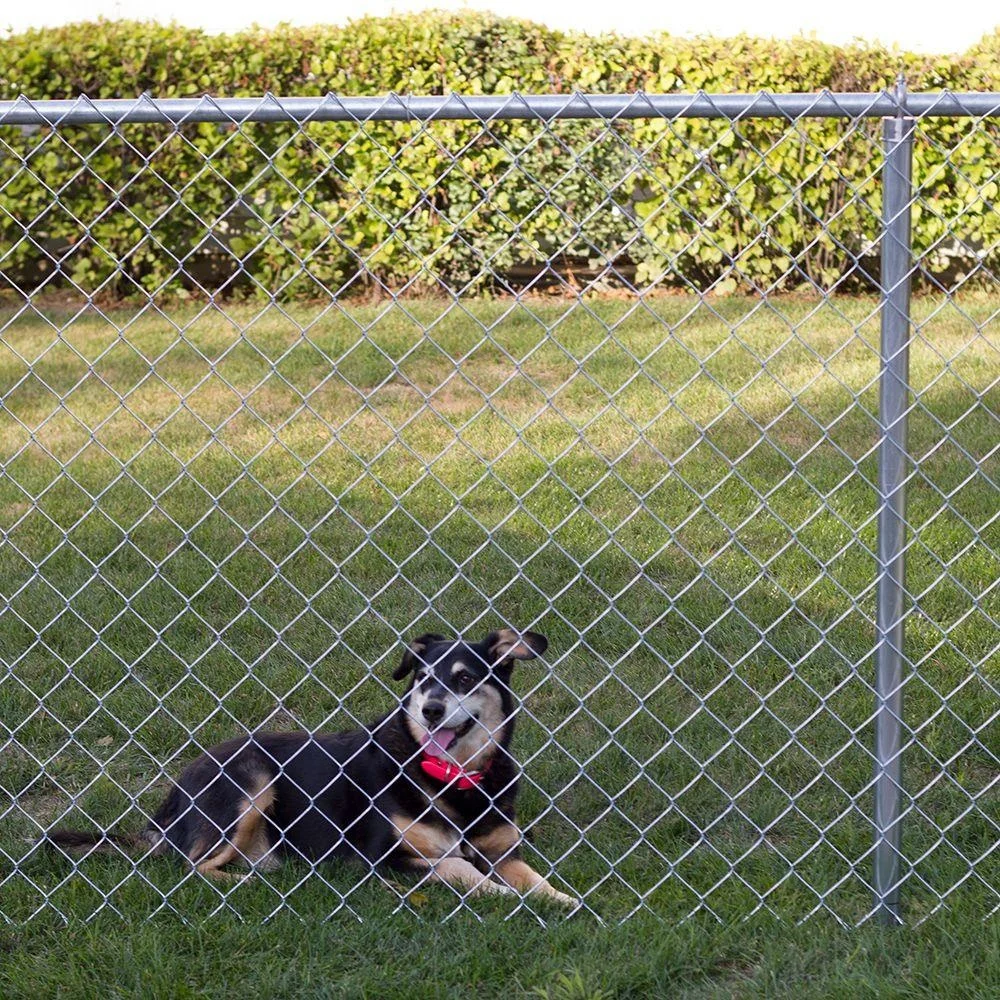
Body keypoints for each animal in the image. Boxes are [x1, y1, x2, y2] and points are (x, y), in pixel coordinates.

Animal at [48, 624, 580, 908]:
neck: (455, 776)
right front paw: (502, 895)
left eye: (466, 678)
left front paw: (562, 899)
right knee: (190, 867)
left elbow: (535, 878)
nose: (430, 709)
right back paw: (245, 882)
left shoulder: (503, 852)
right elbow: (458, 866)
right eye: (422, 678)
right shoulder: (383, 856)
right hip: (250, 782)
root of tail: (173, 797)